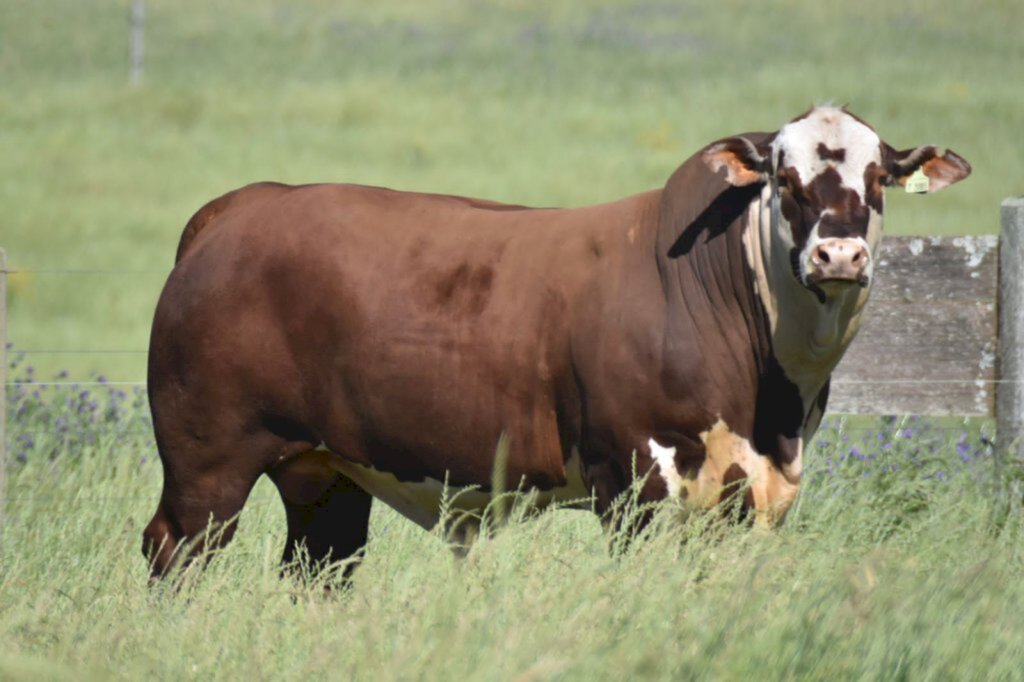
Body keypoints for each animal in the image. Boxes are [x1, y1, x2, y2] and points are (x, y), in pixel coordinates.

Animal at [142, 104, 966, 573]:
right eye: (783, 179)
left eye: (880, 178)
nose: (839, 255)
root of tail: (241, 209)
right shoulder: (635, 480)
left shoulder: (752, 492)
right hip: (207, 464)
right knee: (175, 549)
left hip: (328, 472)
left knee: (319, 568)